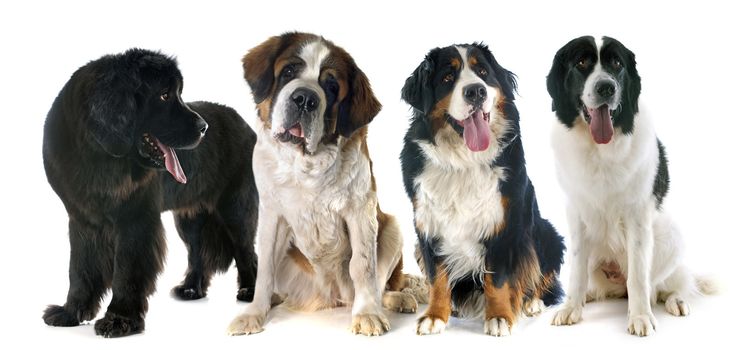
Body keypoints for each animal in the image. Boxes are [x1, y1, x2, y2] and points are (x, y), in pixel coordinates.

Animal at [41, 48, 258, 336]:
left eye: (178, 93)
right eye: (164, 95)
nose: (204, 128)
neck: (99, 158)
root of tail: (245, 124)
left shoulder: (136, 221)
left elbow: (127, 271)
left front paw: (120, 319)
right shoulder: (82, 220)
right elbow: (79, 270)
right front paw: (70, 312)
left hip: (236, 208)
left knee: (246, 250)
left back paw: (250, 291)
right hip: (189, 219)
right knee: (197, 251)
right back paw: (191, 289)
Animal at [229, 32, 426, 336]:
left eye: (331, 86)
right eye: (289, 72)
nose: (305, 98)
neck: (308, 164)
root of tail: (332, 297)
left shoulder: (361, 210)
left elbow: (363, 266)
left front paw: (367, 314)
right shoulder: (272, 213)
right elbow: (265, 269)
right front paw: (254, 313)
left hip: (391, 226)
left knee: (382, 283)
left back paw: (394, 299)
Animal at [400, 44, 568, 336]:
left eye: (483, 73)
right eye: (447, 77)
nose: (476, 91)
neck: (463, 162)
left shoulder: (503, 224)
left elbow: (498, 279)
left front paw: (499, 316)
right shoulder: (427, 225)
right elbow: (436, 277)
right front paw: (435, 315)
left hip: (546, 234)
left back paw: (531, 302)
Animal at [548, 35, 716, 336]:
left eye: (616, 64)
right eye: (582, 62)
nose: (606, 87)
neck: (600, 150)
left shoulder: (638, 215)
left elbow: (638, 276)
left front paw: (640, 317)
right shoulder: (576, 213)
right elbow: (577, 270)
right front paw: (571, 308)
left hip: (670, 235)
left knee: (666, 284)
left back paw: (675, 300)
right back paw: (586, 297)